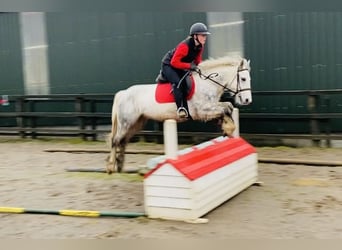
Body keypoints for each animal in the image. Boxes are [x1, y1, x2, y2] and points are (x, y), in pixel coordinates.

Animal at [106, 55, 251, 173]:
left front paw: (226, 127)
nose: (247, 100)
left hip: (137, 123)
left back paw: (120, 165)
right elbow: (226, 109)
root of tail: (123, 93)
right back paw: (111, 166)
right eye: (243, 79)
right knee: (115, 140)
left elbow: (228, 107)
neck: (208, 83)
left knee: (123, 141)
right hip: (126, 122)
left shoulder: (212, 106)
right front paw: (228, 128)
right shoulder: (202, 110)